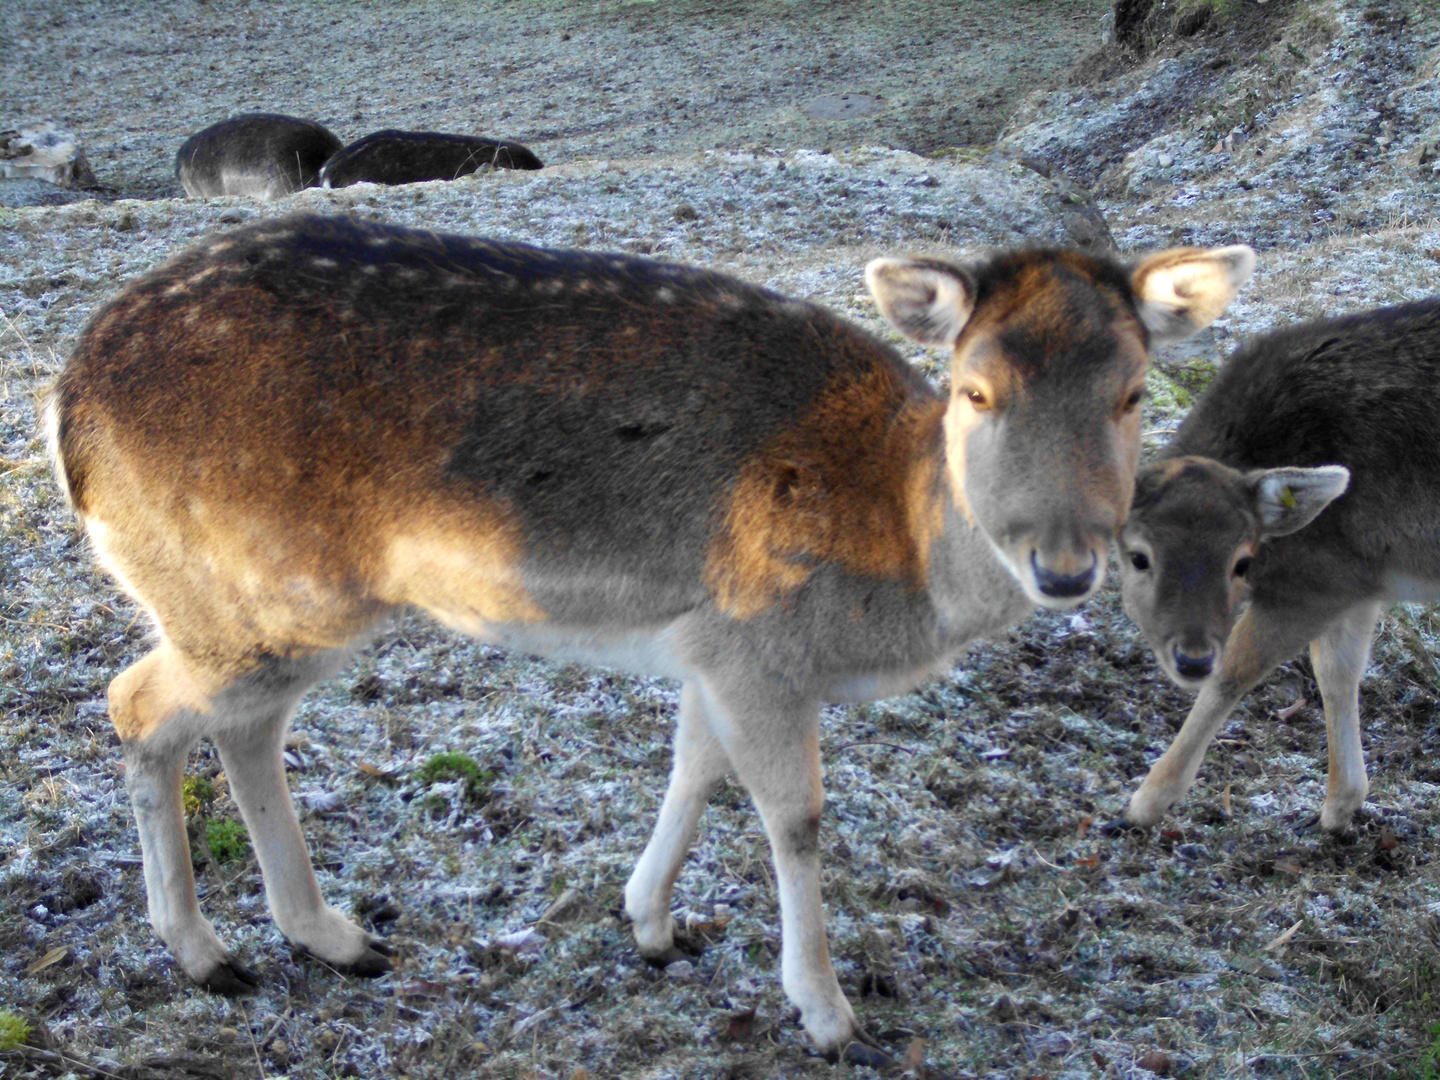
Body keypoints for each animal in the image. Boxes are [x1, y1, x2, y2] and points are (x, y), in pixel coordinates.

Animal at [47, 213, 1249, 1065]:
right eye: (976, 389)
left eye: (1134, 392)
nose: (1067, 566)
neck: (896, 567)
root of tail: (67, 414)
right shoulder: (761, 639)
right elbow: (794, 817)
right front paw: (826, 1012)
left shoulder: (710, 646)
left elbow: (693, 769)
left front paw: (652, 926)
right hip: (250, 595)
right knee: (136, 702)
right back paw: (207, 956)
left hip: (277, 614)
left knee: (240, 729)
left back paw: (331, 937)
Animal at [1123, 300, 1440, 835]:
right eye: (1138, 556)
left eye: (1242, 560)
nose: (1190, 658)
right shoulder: (1358, 579)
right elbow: (1336, 672)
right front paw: (1339, 806)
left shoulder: (1319, 581)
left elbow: (1236, 668)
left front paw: (1147, 801)